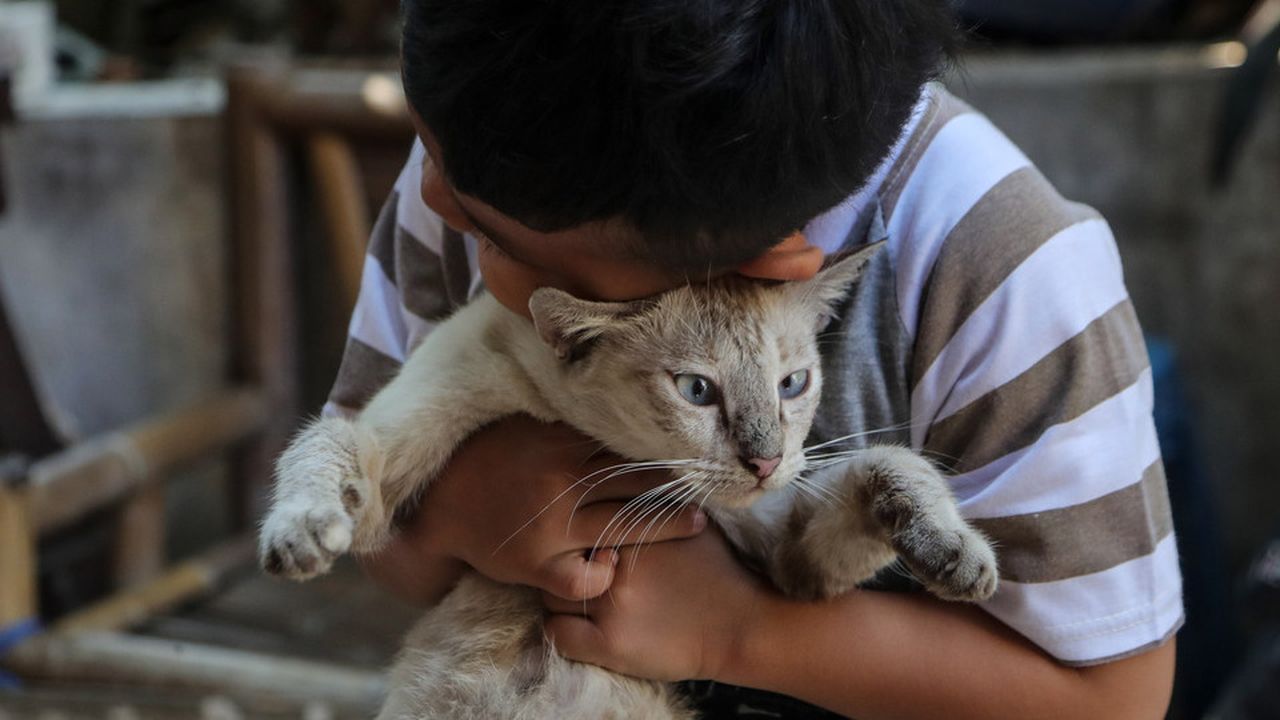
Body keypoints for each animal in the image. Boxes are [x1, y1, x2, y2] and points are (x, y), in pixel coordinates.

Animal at [257, 242, 998, 717]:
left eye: (793, 385)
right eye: (697, 391)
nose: (766, 463)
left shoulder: (790, 561)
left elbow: (890, 463)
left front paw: (957, 555)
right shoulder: (386, 468)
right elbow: (324, 440)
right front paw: (301, 530)